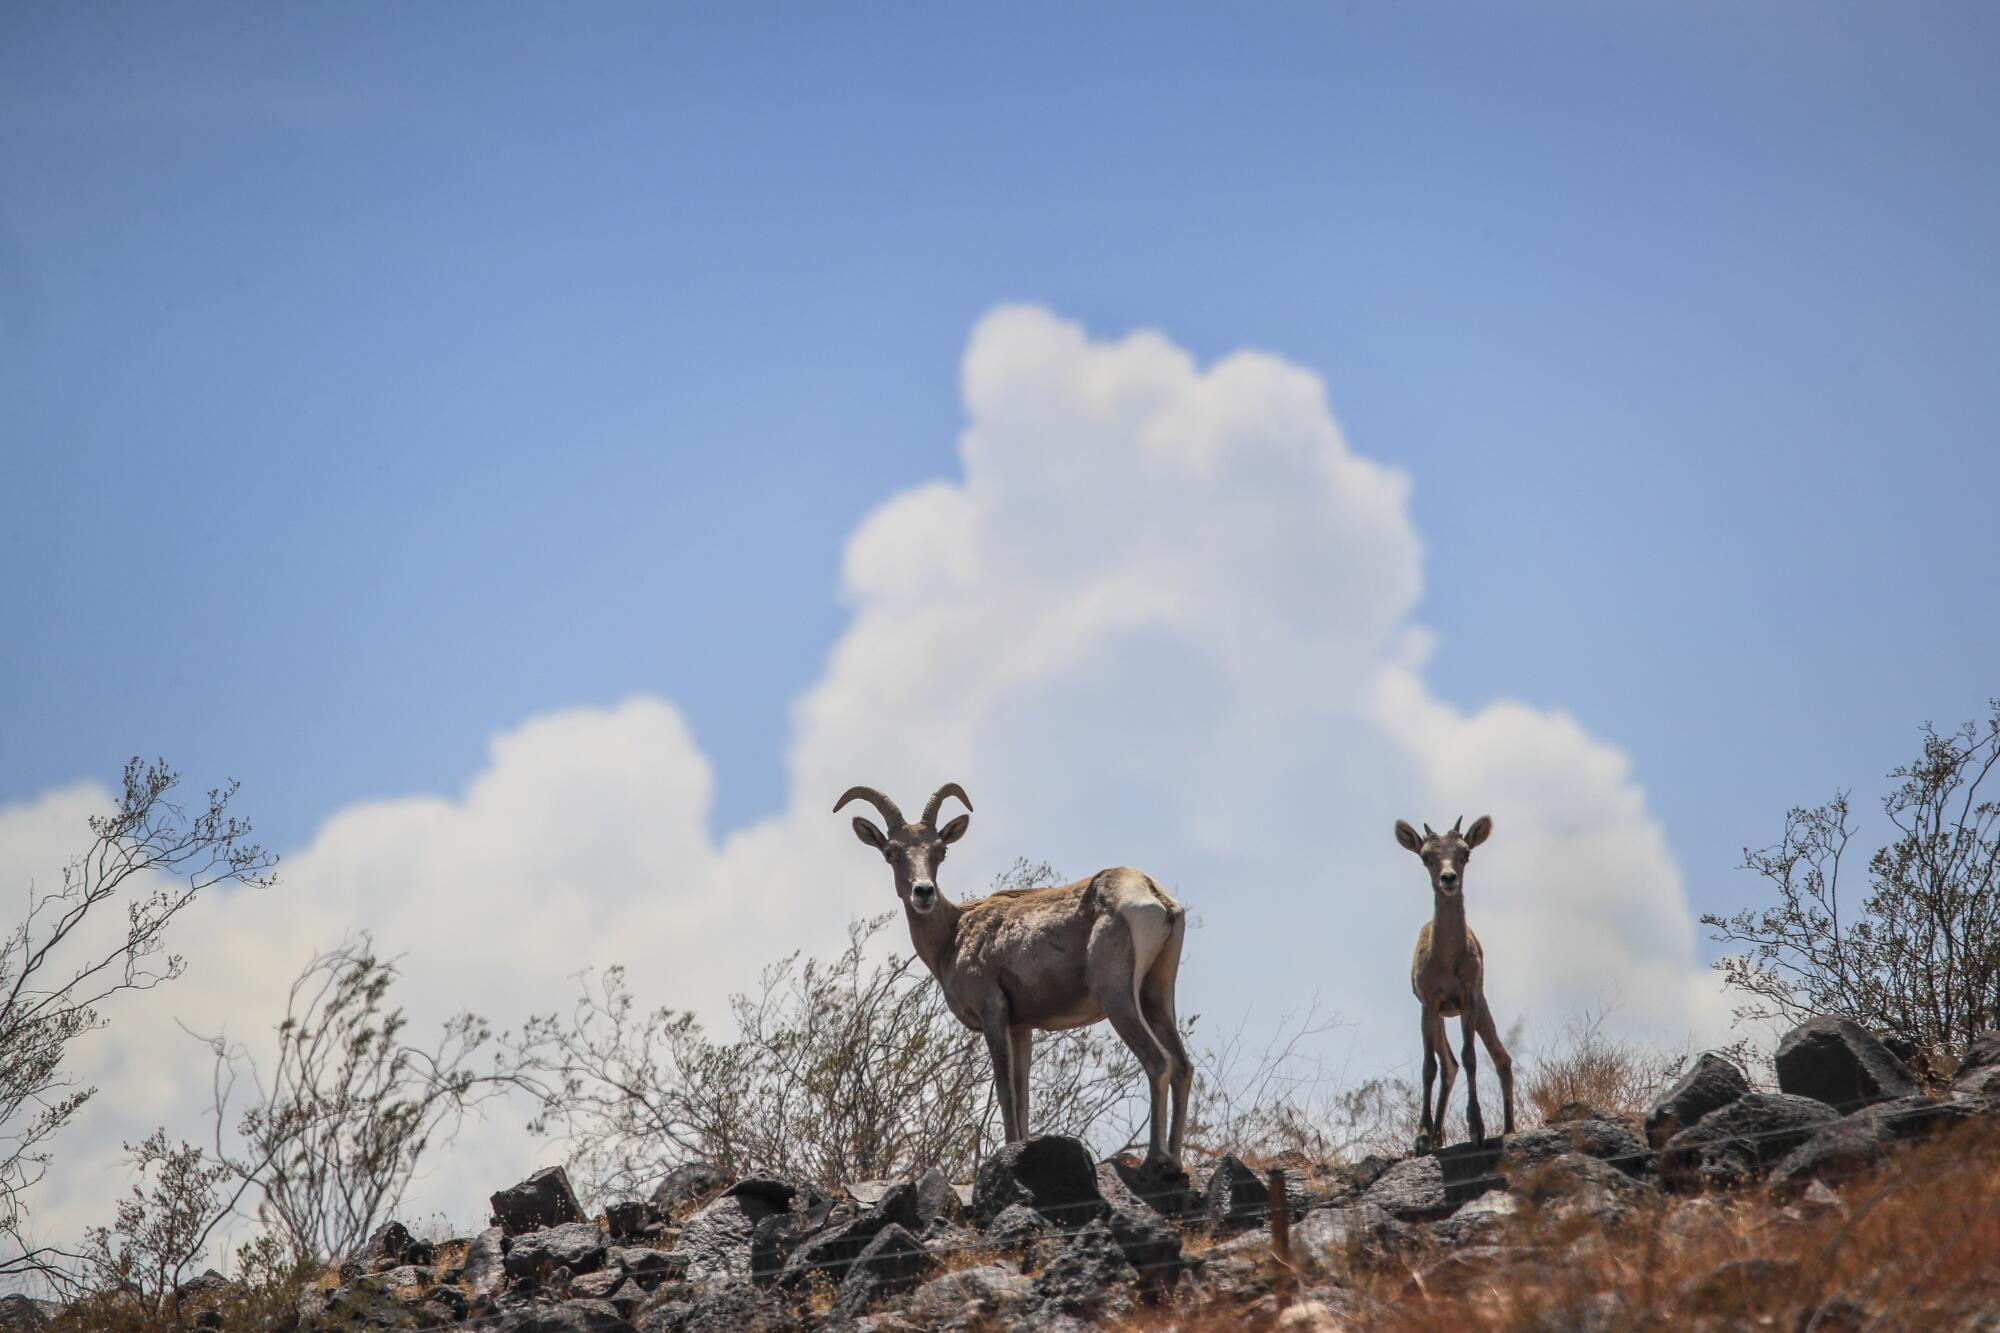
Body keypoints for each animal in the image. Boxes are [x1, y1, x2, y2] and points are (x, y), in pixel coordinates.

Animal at [828, 784, 1184, 1168]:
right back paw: (1177, 1160)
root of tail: (1154, 896)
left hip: (1118, 1000)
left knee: (1158, 1062)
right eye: (891, 852)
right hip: (1157, 996)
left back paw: (1157, 1159)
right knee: (1182, 1066)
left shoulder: (993, 1013)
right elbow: (1022, 1094)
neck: (953, 935)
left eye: (940, 850)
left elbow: (1004, 1090)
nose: (923, 892)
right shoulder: (1021, 1027)